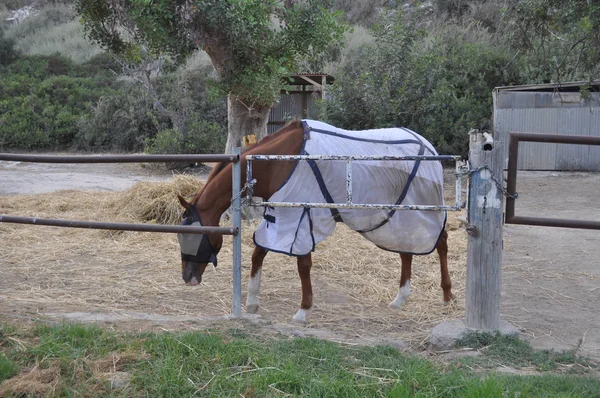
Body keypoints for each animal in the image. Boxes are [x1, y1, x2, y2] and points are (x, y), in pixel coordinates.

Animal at [176, 119, 458, 324]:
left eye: (193, 235)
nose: (188, 278)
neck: (279, 161)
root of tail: (429, 146)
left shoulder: (302, 215)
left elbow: (303, 265)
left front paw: (303, 310)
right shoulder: (279, 216)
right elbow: (258, 253)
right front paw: (252, 302)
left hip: (422, 210)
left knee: (441, 242)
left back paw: (447, 295)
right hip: (399, 217)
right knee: (406, 251)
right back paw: (400, 298)